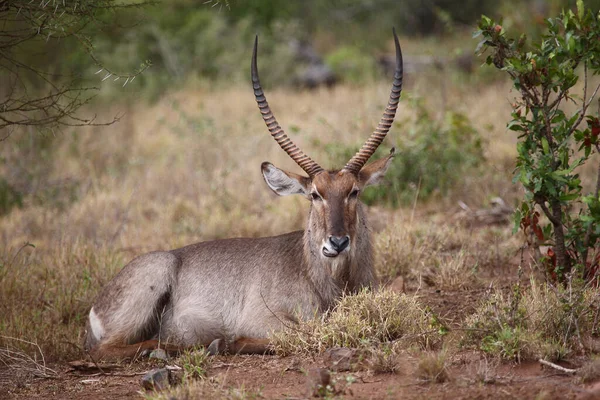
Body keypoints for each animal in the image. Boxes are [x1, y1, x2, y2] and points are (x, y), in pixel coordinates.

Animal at [83, 28, 404, 360]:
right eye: (315, 194)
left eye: (354, 191)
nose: (337, 243)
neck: (325, 277)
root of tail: (95, 308)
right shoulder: (262, 318)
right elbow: (300, 333)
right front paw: (225, 342)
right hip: (154, 276)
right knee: (105, 350)